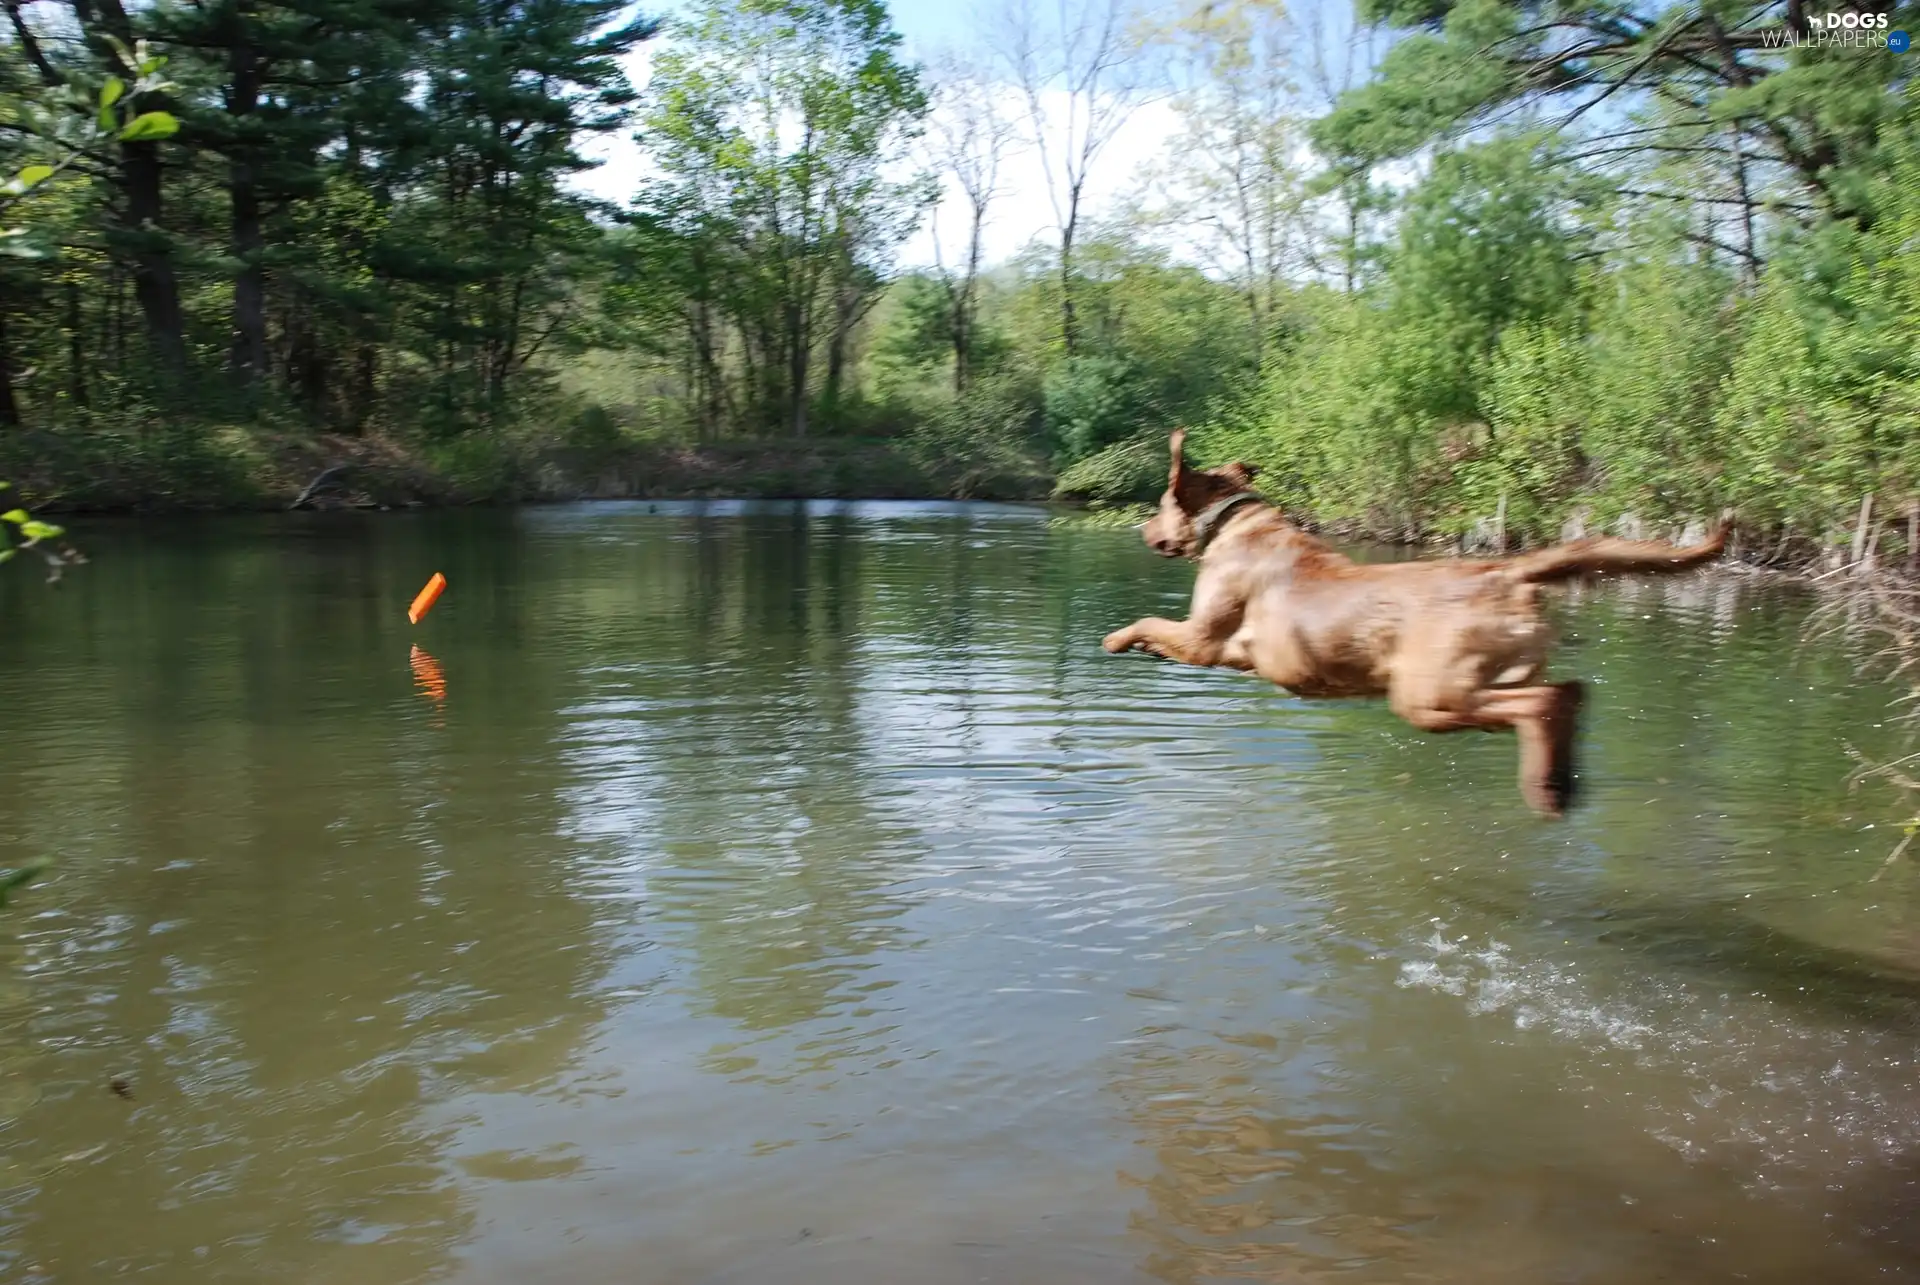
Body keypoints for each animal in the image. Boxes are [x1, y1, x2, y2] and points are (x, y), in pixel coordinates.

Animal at [1105, 430, 1735, 810]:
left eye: (1159, 504)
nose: (1142, 530)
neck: (1231, 523)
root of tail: (1505, 571)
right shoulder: (1230, 654)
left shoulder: (1204, 639)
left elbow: (1147, 620)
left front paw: (1117, 640)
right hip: (1484, 680)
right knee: (1568, 693)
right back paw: (1559, 782)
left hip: (1427, 695)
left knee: (1544, 702)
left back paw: (1544, 790)